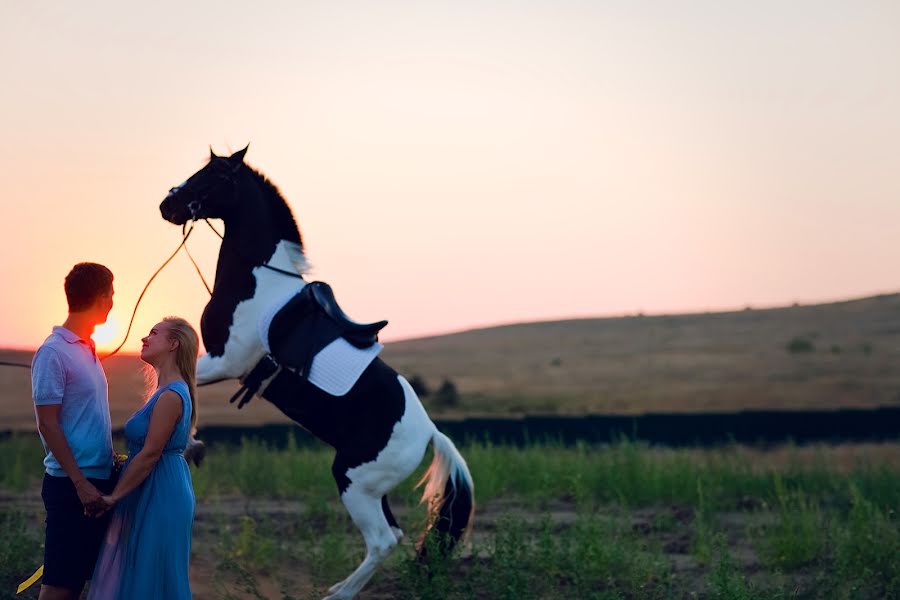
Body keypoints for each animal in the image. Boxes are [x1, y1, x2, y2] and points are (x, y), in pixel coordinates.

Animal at [158, 146, 474, 600]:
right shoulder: (220, 363)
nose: (168, 205)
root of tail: (429, 432)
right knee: (392, 535)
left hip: (354, 480)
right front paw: (191, 444)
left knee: (383, 540)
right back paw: (343, 585)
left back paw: (338, 593)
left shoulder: (224, 361)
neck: (259, 283)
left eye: (215, 175)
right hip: (372, 488)